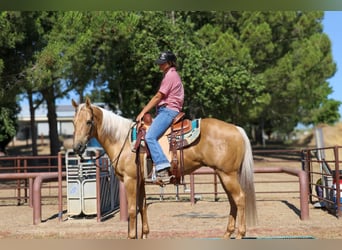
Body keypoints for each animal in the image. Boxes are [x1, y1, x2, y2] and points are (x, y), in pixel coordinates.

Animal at [73, 97, 258, 238]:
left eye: (89, 121)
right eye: (74, 123)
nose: (77, 147)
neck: (122, 140)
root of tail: (237, 129)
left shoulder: (130, 180)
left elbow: (132, 210)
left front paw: (132, 236)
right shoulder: (140, 181)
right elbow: (142, 207)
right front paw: (144, 235)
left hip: (228, 175)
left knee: (240, 198)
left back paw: (240, 234)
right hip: (223, 175)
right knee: (233, 201)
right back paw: (227, 234)